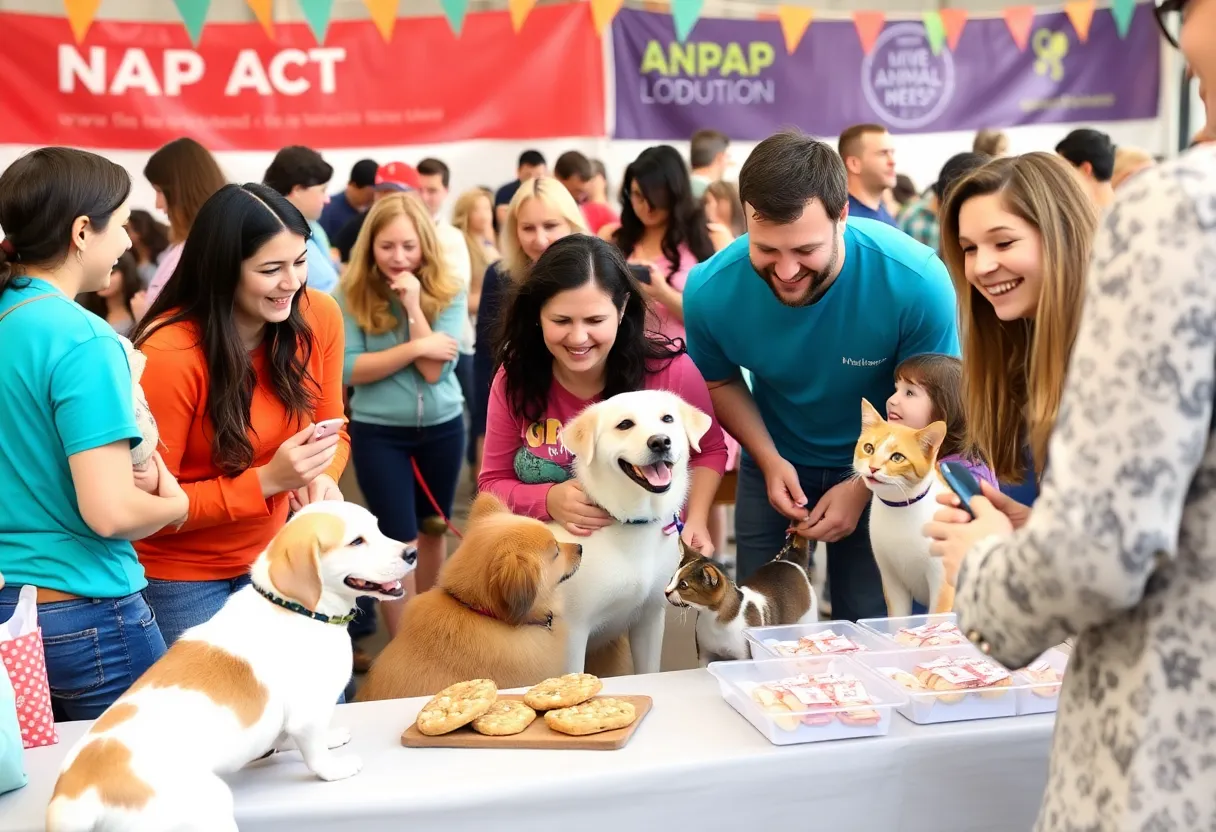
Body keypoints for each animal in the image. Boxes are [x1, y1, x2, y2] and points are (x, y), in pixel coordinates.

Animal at [44, 501, 415, 832]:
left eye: (377, 528)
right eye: (356, 541)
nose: (411, 554)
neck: (296, 608)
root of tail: (72, 797)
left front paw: (330, 737)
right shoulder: (307, 713)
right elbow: (314, 752)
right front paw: (333, 769)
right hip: (209, 807)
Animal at [554, 389, 710, 676]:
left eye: (667, 418)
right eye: (624, 424)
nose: (660, 441)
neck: (634, 524)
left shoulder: (649, 620)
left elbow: (649, 670)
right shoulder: (574, 633)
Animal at [851, 396, 953, 617]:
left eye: (897, 457)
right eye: (869, 448)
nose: (873, 467)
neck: (899, 509)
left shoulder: (942, 583)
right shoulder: (892, 581)